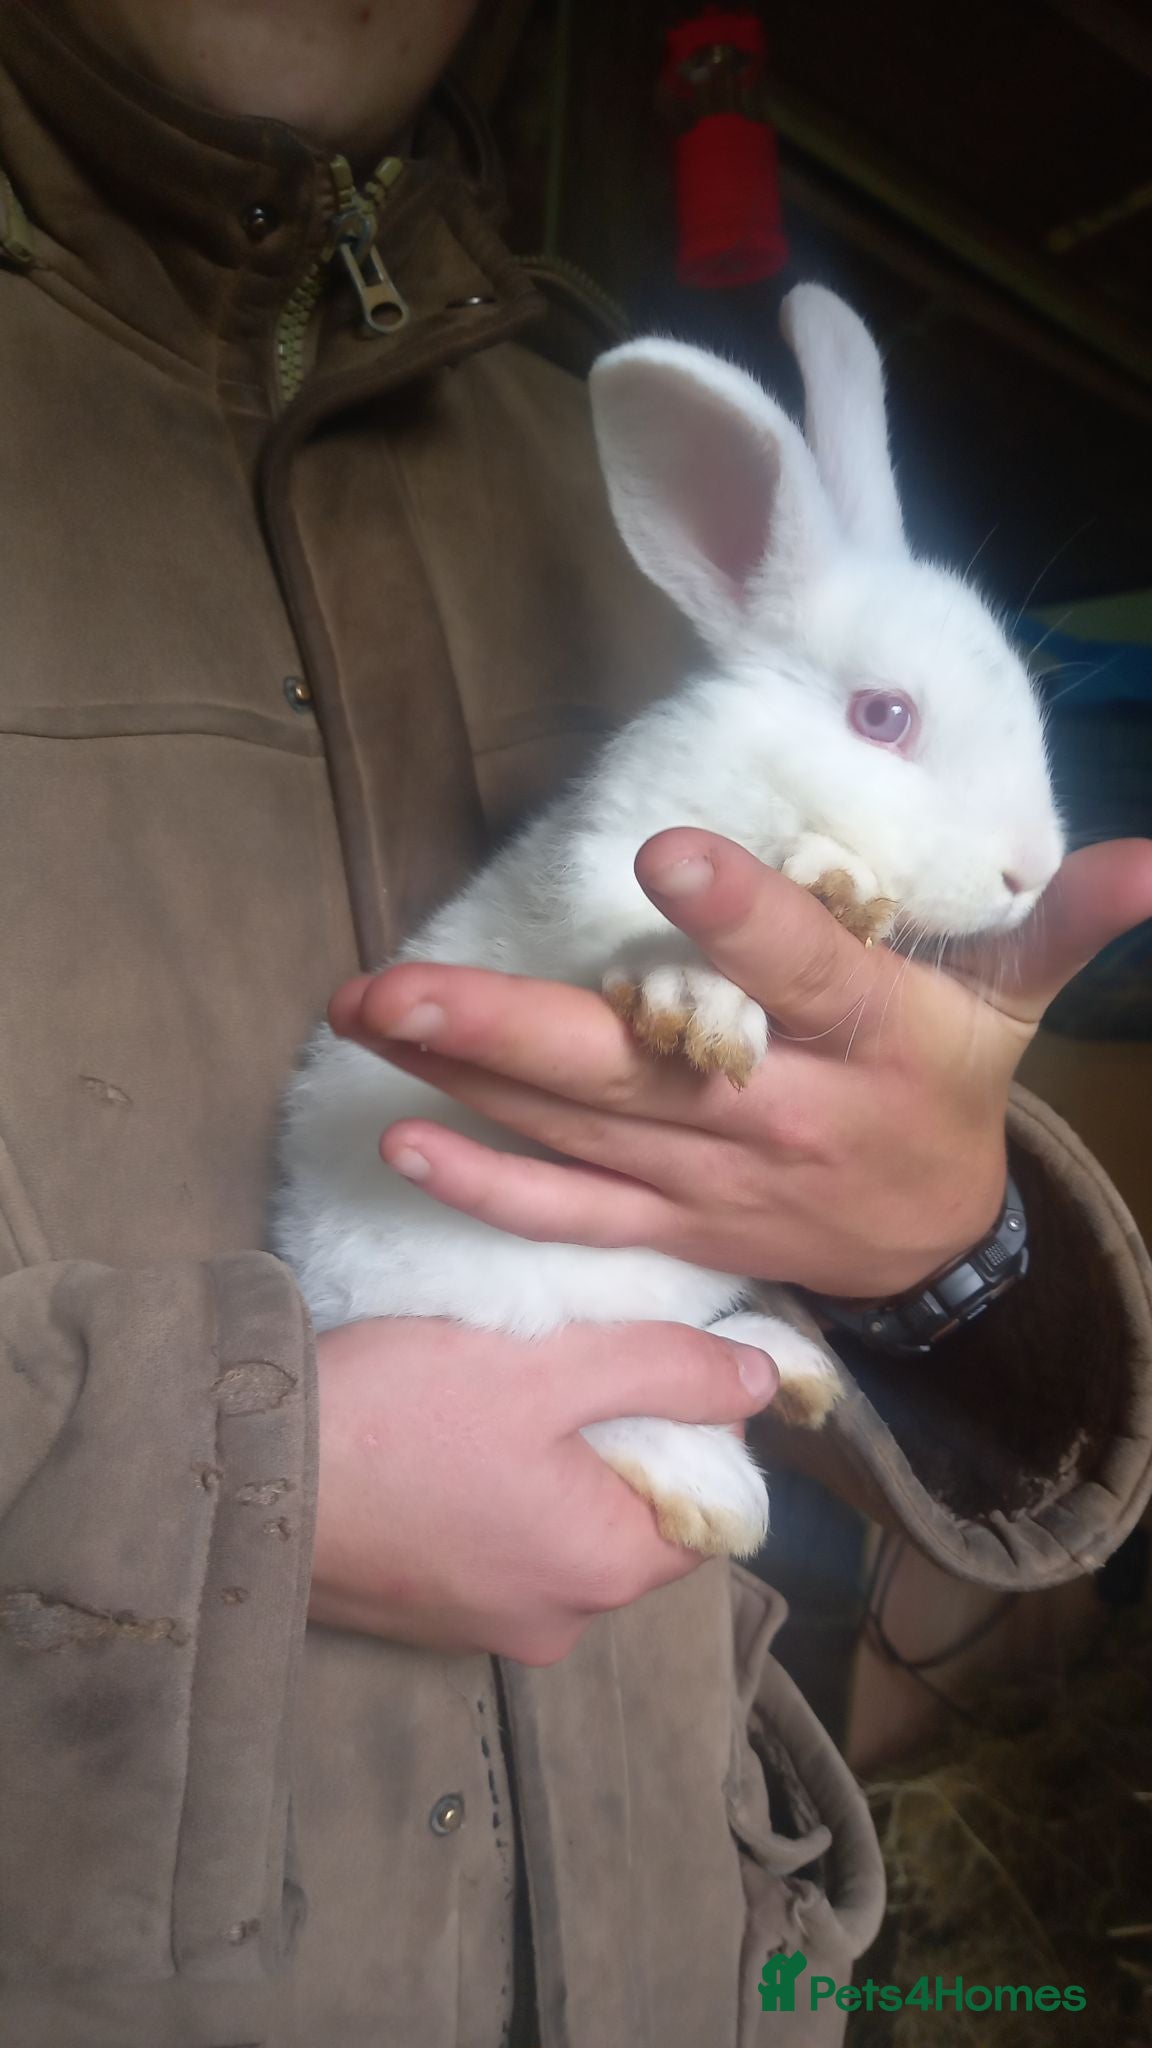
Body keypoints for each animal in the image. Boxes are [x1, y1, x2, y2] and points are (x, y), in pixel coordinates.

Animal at [272, 284, 1064, 1562]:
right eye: (883, 716)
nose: (1031, 871)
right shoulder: (600, 874)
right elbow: (616, 940)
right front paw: (713, 988)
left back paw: (785, 1362)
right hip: (512, 1318)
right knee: (600, 1398)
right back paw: (717, 1483)